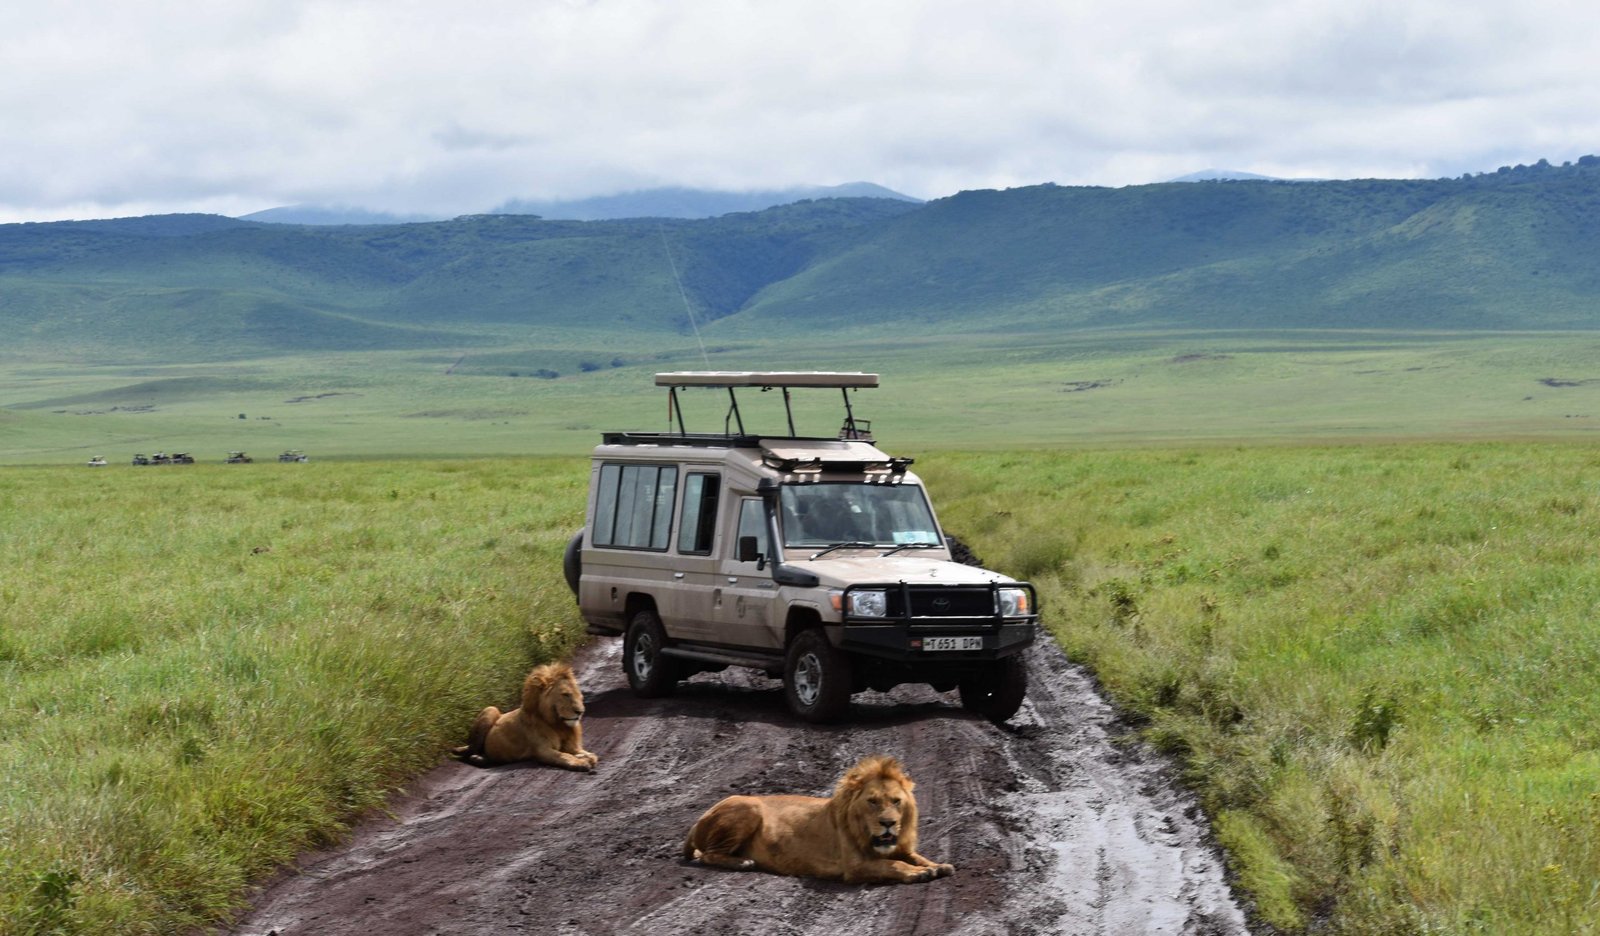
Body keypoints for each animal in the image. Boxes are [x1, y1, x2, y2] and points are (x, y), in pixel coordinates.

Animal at [451, 656, 601, 768]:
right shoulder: (542, 750)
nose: (580, 712)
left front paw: (586, 756)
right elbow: (564, 756)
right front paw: (582, 762)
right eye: (565, 694)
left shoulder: (571, 746)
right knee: (470, 751)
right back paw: (477, 758)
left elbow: (589, 754)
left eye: (579, 694)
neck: (557, 724)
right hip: (491, 709)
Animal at [684, 752, 953, 883]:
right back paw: (743, 863)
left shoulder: (900, 847)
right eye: (873, 801)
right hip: (748, 806)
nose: (888, 823)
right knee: (707, 855)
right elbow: (893, 864)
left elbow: (916, 857)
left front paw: (938, 866)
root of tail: (697, 820)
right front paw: (918, 873)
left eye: (896, 801)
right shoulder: (855, 867)